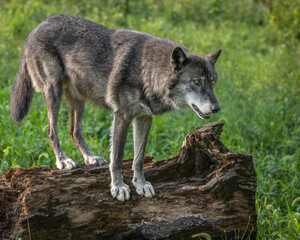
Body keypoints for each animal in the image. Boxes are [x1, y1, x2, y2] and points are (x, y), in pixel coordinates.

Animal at [9, 15, 220, 202]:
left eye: (212, 82)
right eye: (196, 82)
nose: (217, 108)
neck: (147, 71)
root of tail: (35, 28)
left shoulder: (144, 118)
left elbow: (138, 158)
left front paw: (141, 185)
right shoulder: (122, 116)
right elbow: (117, 159)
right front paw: (118, 188)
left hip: (79, 101)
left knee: (74, 131)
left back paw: (90, 158)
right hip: (54, 92)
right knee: (51, 131)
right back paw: (62, 161)